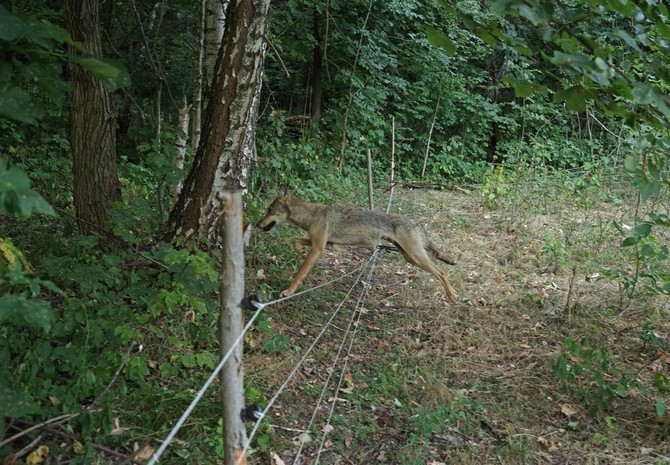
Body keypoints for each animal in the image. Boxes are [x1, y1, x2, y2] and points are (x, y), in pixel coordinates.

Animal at [255, 191, 460, 300]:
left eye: (269, 210)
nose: (257, 224)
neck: (312, 215)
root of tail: (415, 223)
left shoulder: (318, 249)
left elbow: (299, 274)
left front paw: (288, 291)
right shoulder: (328, 246)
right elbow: (295, 239)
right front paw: (298, 249)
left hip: (416, 257)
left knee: (441, 272)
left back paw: (452, 295)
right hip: (410, 258)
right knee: (437, 263)